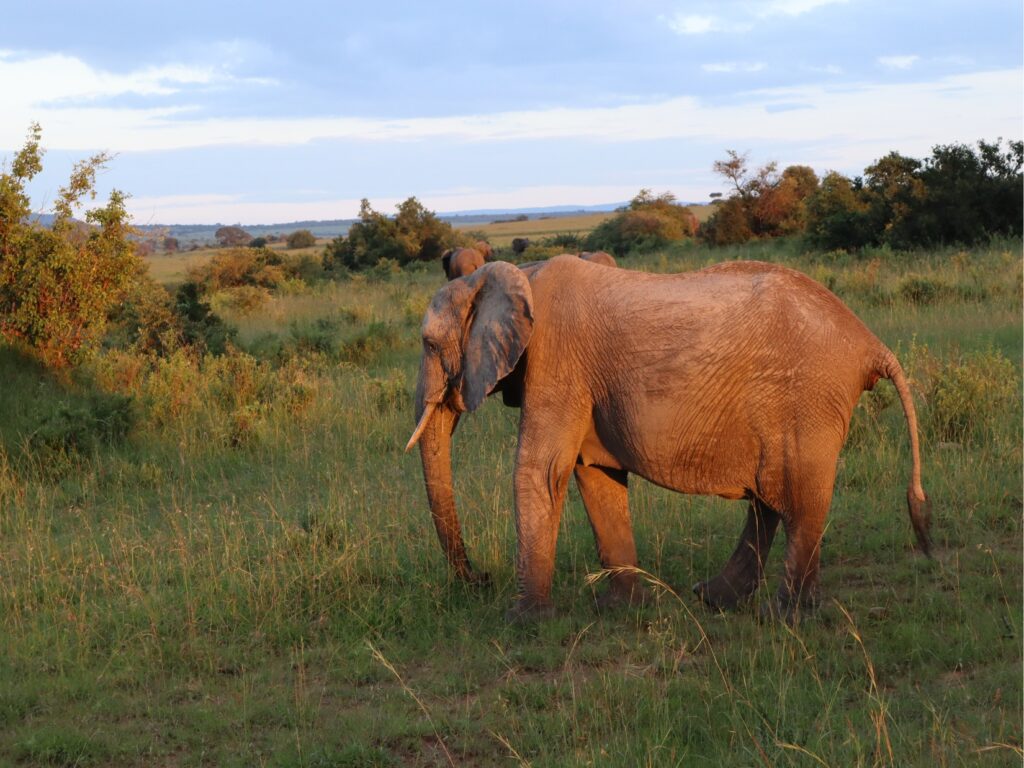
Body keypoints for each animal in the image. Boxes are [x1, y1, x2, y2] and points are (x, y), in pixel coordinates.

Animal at [403, 256, 933, 622]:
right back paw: (716, 599)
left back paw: (784, 617)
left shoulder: (557, 361)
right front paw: (622, 608)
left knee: (796, 498)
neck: (516, 274)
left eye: (428, 344)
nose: (480, 579)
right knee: (772, 499)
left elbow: (542, 470)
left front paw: (523, 621)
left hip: (809, 399)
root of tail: (869, 343)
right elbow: (594, 474)